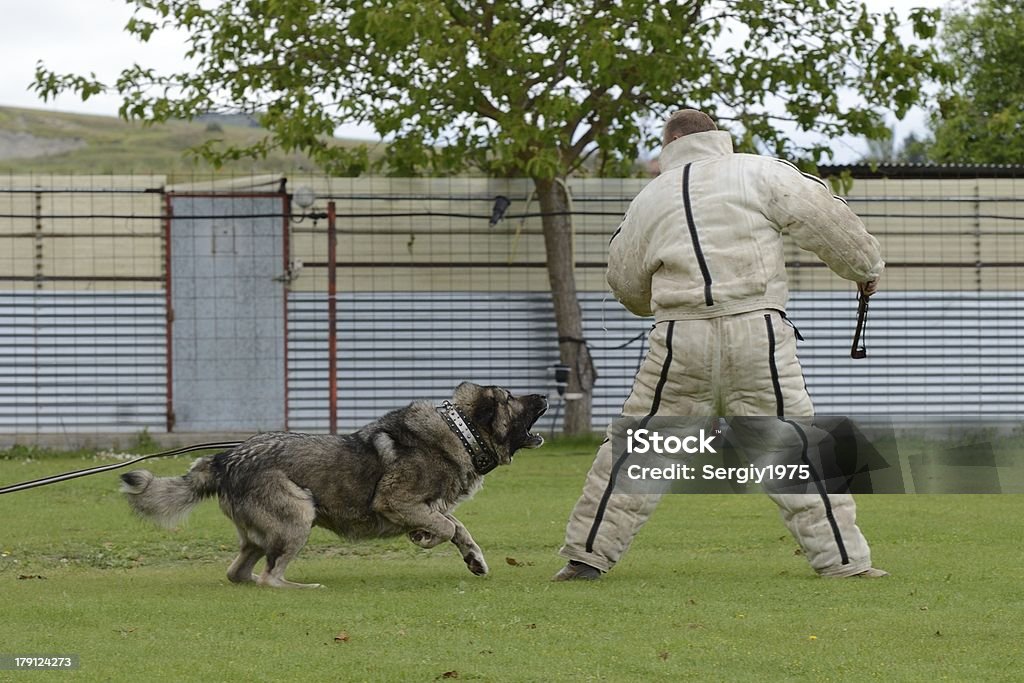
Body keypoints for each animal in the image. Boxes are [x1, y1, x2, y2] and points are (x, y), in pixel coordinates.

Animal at [118, 385, 548, 589]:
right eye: (511, 397)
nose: (544, 393)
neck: (461, 433)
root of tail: (225, 460)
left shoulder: (430, 505)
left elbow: (458, 527)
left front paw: (472, 557)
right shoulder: (395, 500)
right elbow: (445, 525)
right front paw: (424, 538)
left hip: (261, 534)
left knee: (239, 573)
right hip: (299, 514)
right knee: (269, 577)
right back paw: (303, 586)